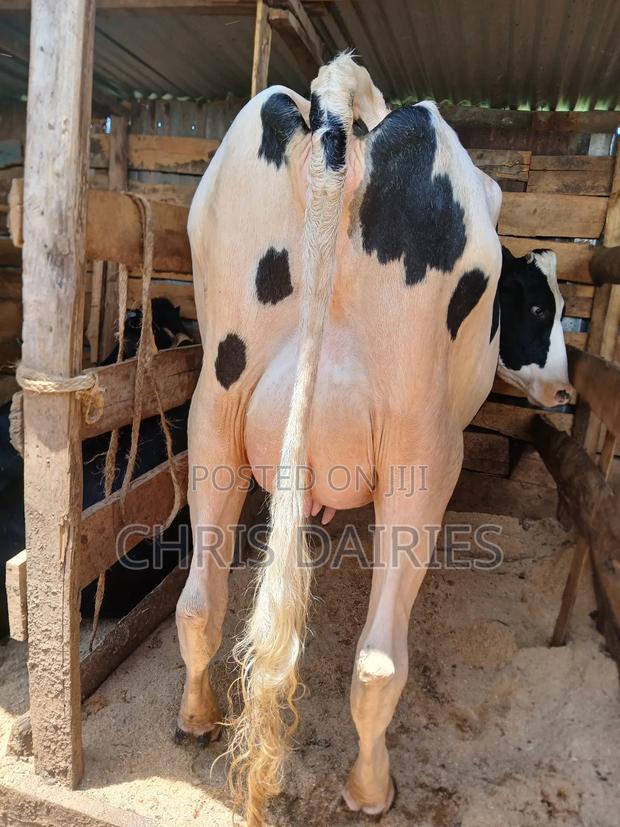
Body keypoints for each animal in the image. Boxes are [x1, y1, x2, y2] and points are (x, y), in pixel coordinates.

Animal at [174, 54, 571, 824]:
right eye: (541, 308)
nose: (567, 391)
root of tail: (333, 123)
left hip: (214, 415)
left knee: (200, 601)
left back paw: (196, 715)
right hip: (423, 453)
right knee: (379, 661)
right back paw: (369, 788)